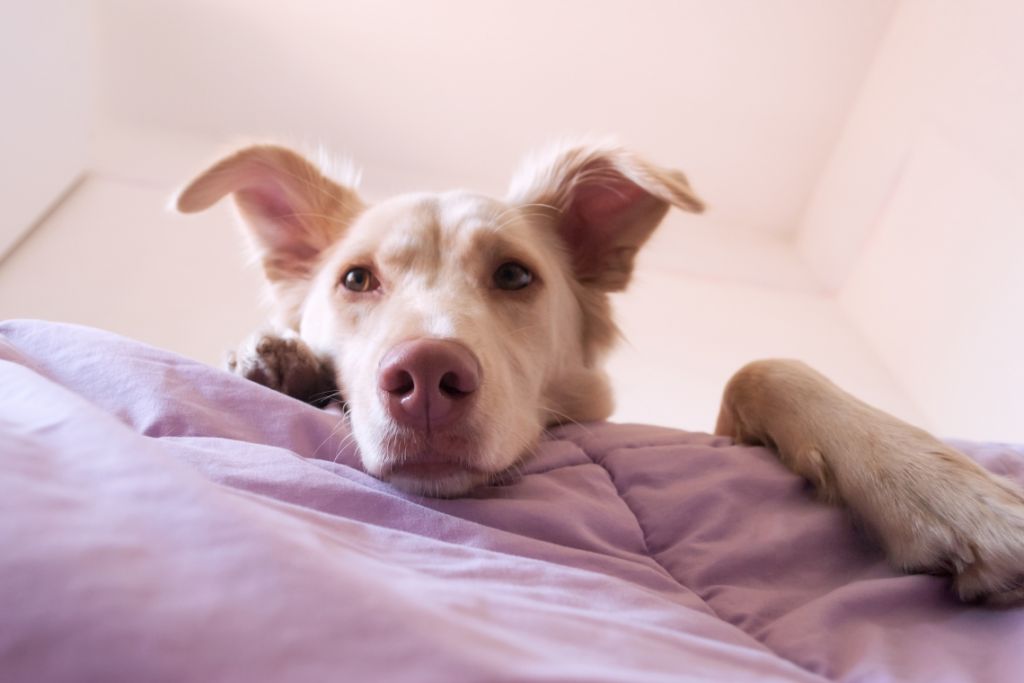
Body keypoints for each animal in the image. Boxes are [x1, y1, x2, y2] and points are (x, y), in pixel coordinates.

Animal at [176, 143, 1024, 602]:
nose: (425, 377)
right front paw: (279, 358)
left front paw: (949, 494)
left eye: (515, 276)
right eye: (356, 280)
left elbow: (763, 364)